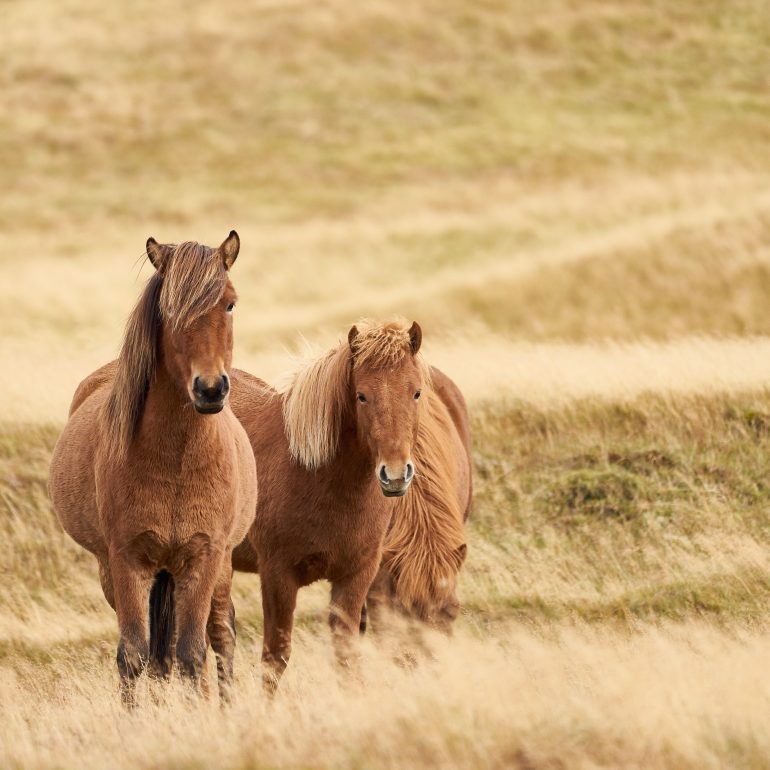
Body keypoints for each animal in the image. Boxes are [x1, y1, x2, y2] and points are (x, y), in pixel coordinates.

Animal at [48, 232, 257, 706]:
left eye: (230, 304)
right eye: (169, 310)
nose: (210, 389)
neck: (177, 461)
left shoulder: (203, 558)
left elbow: (193, 653)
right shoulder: (128, 562)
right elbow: (134, 656)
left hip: (218, 570)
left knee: (220, 635)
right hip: (127, 574)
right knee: (159, 655)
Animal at [229, 319, 470, 693]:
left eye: (416, 392)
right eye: (362, 395)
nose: (395, 475)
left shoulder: (356, 577)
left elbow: (346, 658)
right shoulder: (277, 576)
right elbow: (275, 660)